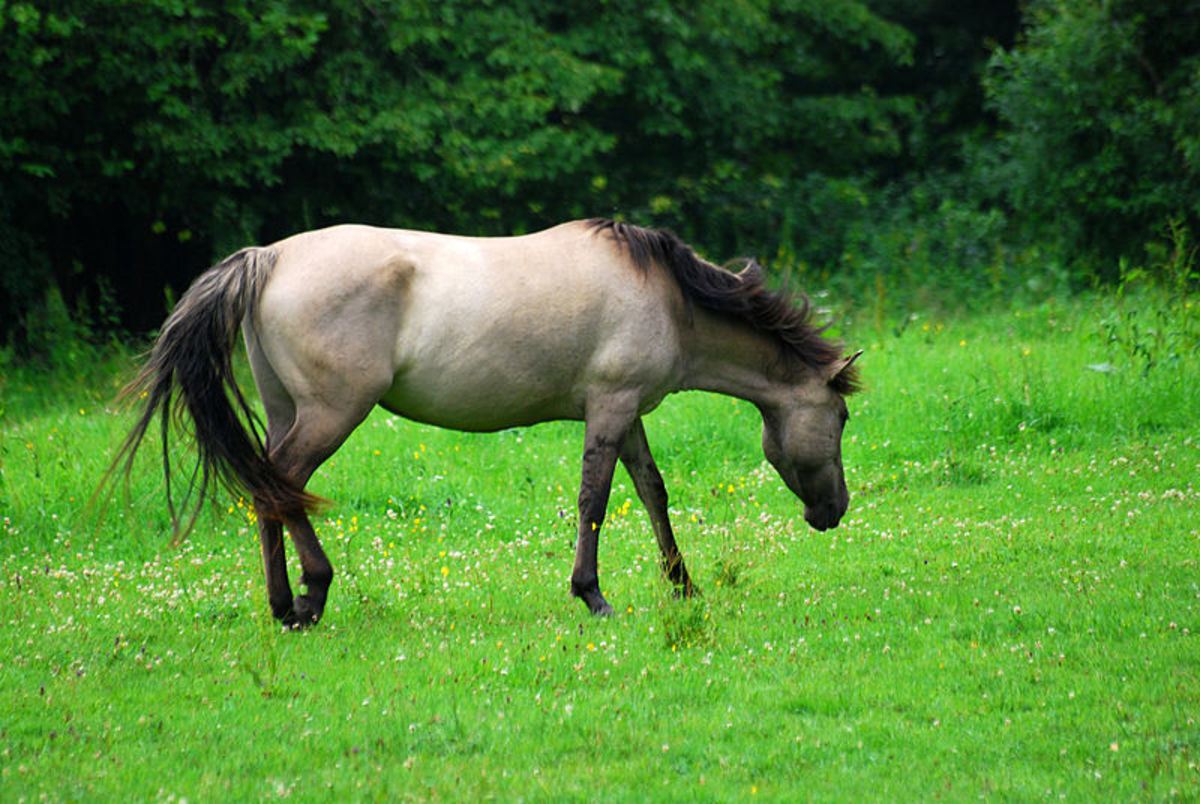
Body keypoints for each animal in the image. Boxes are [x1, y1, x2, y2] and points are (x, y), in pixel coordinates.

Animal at [109, 219, 861, 627]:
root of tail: (267, 257)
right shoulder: (612, 406)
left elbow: (652, 492)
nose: (833, 512)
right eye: (843, 416)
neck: (670, 299)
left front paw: (683, 585)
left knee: (269, 490)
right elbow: (595, 499)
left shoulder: (626, 412)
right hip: (330, 413)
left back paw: (283, 606)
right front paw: (593, 595)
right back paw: (313, 593)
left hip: (287, 410)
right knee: (285, 484)